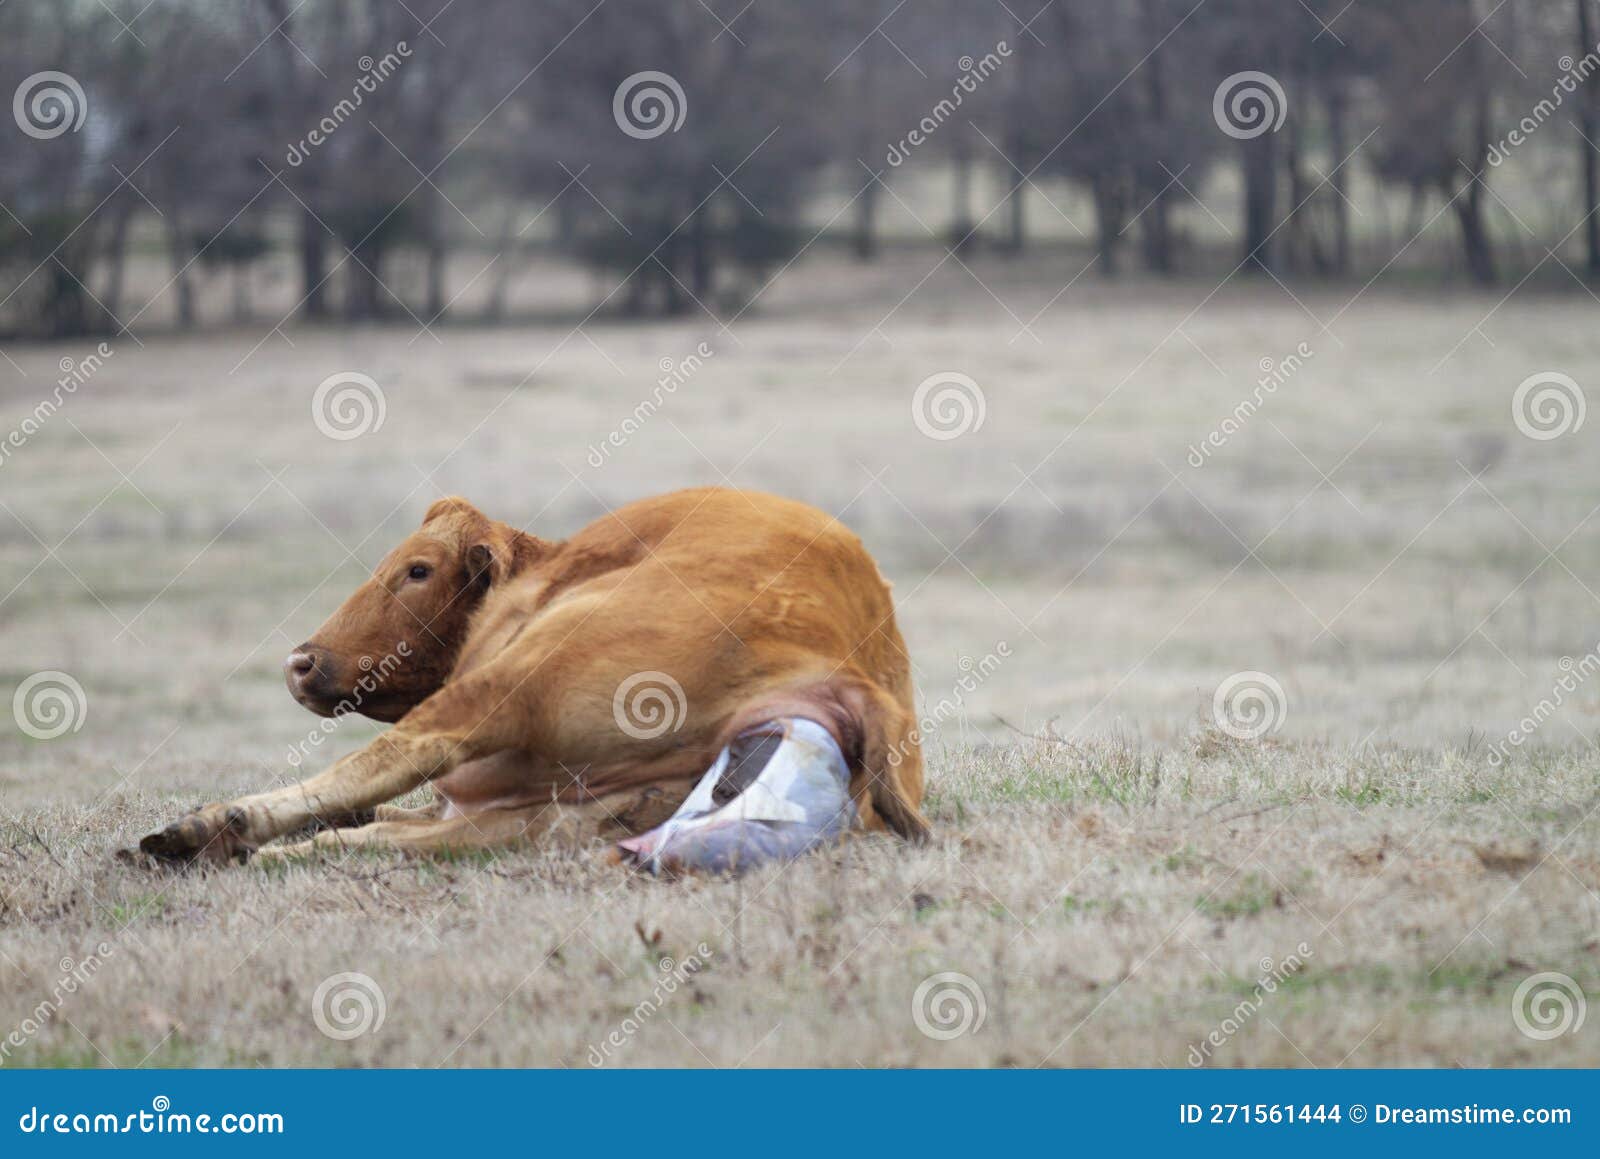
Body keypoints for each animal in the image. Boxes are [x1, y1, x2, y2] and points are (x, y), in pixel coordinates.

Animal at [138, 488, 928, 867]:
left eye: (417, 569)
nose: (300, 662)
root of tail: (844, 662)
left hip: (508, 688)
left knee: (390, 762)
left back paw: (209, 827)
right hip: (548, 813)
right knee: (390, 832)